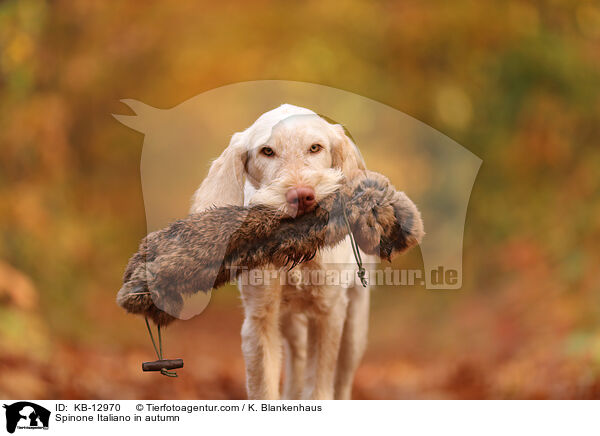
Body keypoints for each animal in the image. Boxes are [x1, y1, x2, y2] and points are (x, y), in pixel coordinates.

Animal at [192, 104, 378, 398]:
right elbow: (264, 386)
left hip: (355, 324)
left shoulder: (329, 312)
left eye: (315, 147)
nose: (301, 196)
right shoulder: (261, 317)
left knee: (342, 378)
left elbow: (320, 385)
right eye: (267, 151)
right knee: (298, 358)